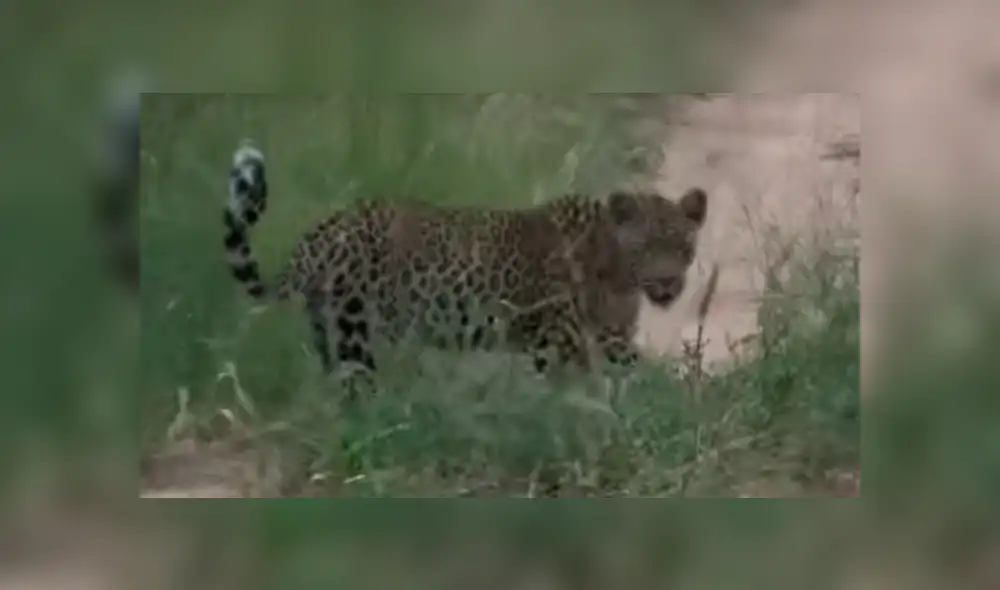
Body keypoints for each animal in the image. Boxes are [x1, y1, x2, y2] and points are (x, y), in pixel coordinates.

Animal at [223, 139, 708, 381]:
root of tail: (322, 231)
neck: (617, 274)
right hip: (356, 329)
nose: (668, 285)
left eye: (682, 248)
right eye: (644, 249)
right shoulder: (560, 341)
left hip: (332, 328)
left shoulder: (611, 339)